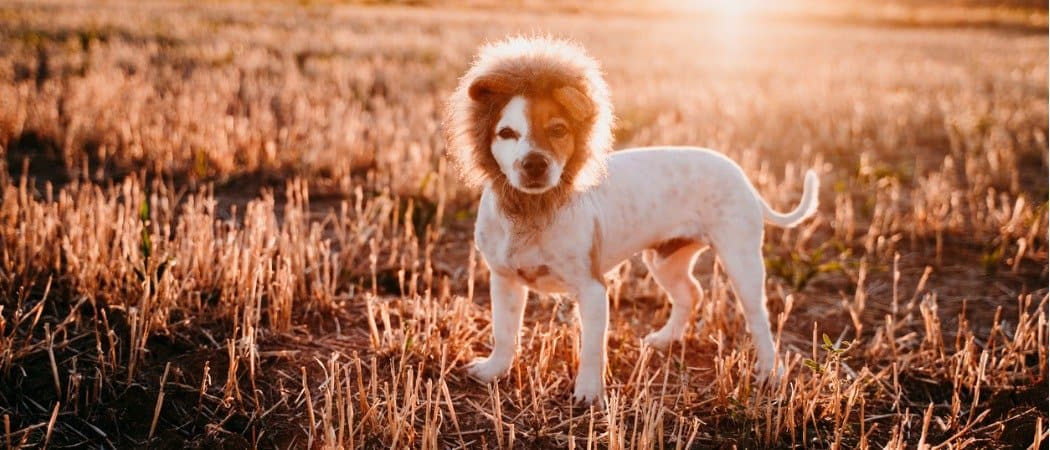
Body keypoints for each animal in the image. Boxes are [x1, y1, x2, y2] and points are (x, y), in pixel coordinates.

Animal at [443, 36, 818, 404]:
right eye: (506, 133)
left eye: (559, 129)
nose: (534, 163)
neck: (532, 211)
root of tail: (743, 177)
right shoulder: (505, 281)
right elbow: (504, 332)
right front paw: (494, 370)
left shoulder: (593, 289)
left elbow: (592, 349)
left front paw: (589, 392)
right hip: (665, 260)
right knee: (690, 293)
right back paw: (666, 339)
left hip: (741, 261)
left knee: (759, 318)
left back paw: (770, 371)